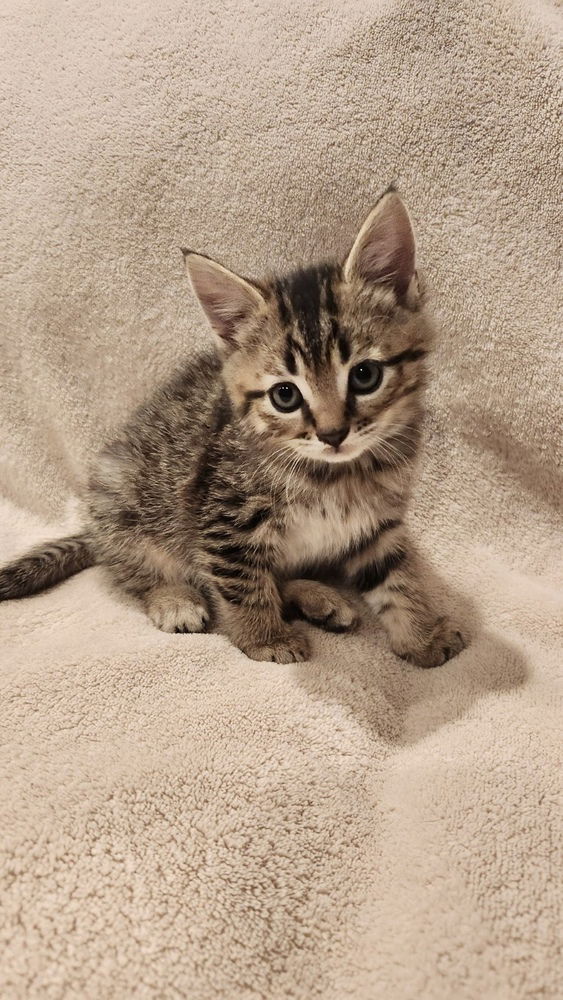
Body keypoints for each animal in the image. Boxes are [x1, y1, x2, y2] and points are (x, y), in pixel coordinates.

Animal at [0, 190, 468, 668]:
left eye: (365, 375)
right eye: (285, 396)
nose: (333, 433)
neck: (334, 475)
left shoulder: (377, 521)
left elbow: (397, 578)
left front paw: (421, 636)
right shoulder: (223, 518)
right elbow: (242, 582)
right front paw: (266, 639)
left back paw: (315, 596)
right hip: (120, 497)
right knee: (134, 569)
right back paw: (174, 598)